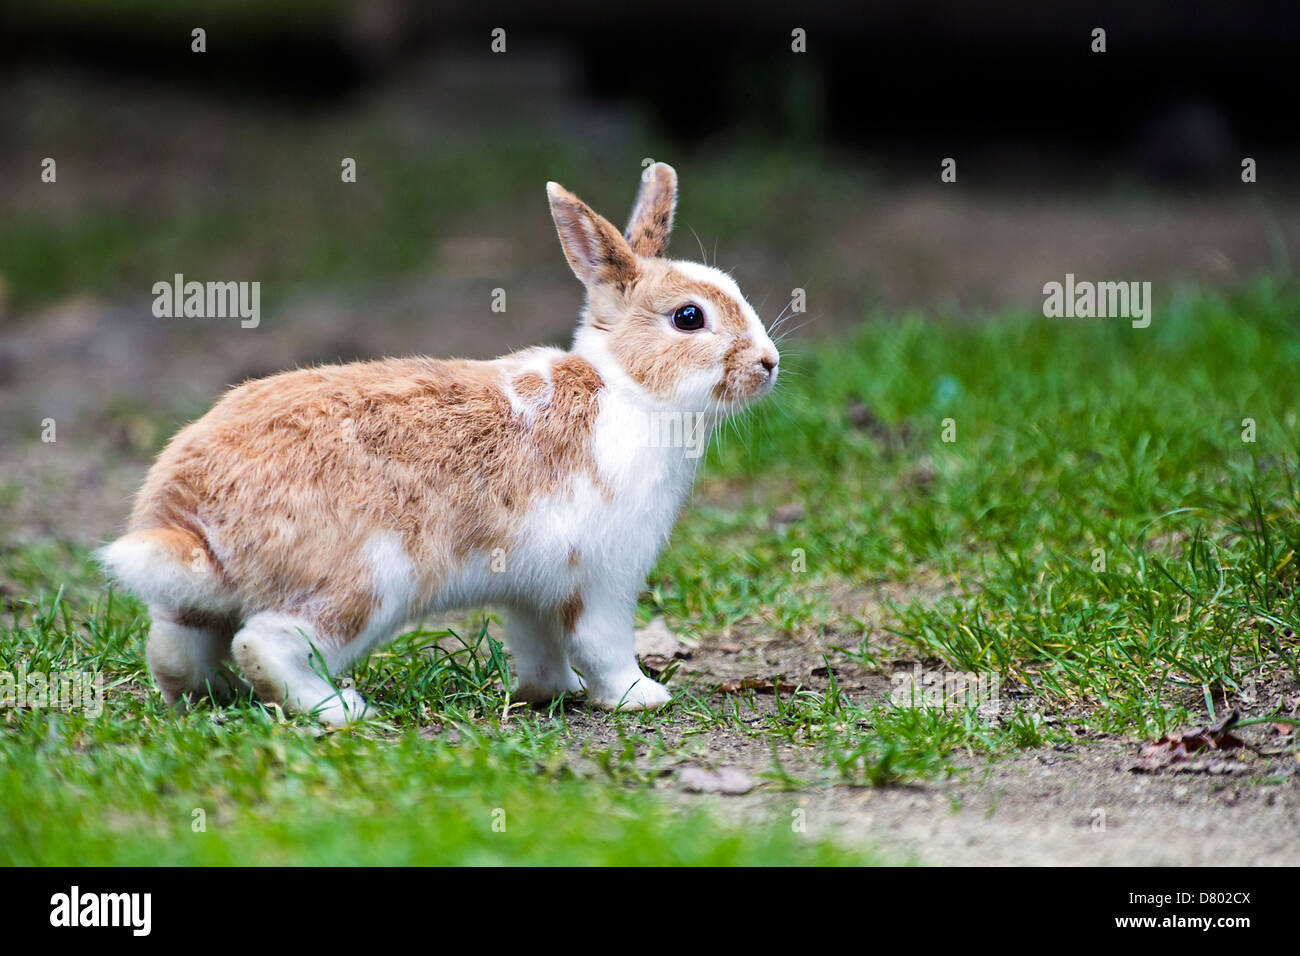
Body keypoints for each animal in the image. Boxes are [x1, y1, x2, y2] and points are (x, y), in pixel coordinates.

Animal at [99, 162, 780, 726]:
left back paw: (214, 696)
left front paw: (549, 693)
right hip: (369, 582)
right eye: (689, 318)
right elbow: (602, 645)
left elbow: (540, 643)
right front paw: (641, 697)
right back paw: (340, 709)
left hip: (202, 605)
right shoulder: (603, 578)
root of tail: (189, 517)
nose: (769, 363)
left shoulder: (531, 590)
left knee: (178, 643)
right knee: (266, 641)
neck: (627, 388)